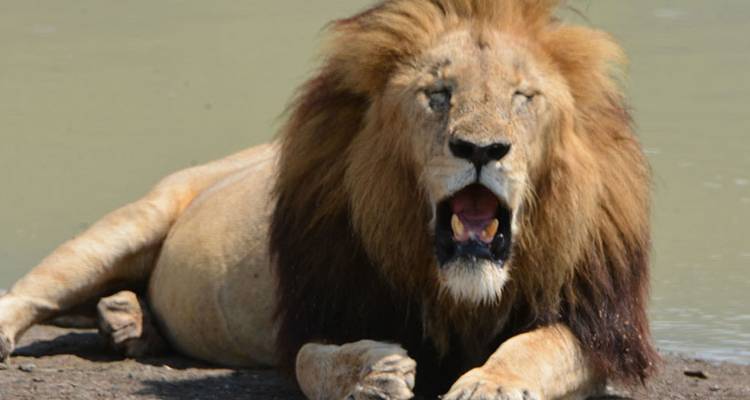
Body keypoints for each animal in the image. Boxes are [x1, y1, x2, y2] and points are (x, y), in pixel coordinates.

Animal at [0, 1, 658, 399]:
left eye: (522, 97)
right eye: (438, 93)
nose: (480, 149)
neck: (456, 286)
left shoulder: (600, 327)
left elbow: (537, 348)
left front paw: (488, 383)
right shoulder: (321, 306)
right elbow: (312, 361)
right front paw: (372, 374)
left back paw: (126, 321)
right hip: (134, 220)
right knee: (33, 291)